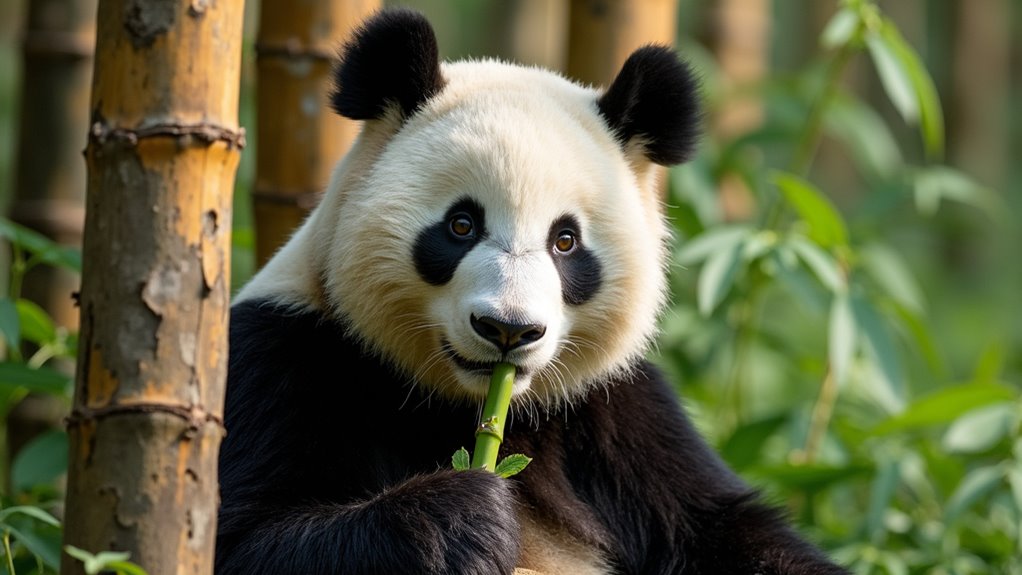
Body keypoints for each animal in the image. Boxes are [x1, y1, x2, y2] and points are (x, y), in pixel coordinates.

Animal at [216, 7, 849, 575]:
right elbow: (244, 537)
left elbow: (723, 530)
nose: (508, 329)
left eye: (565, 241)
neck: (461, 403)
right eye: (461, 225)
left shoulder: (616, 411)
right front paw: (466, 520)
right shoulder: (281, 356)